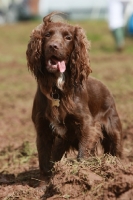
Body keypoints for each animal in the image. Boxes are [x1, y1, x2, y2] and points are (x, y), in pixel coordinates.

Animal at [26, 12, 122, 181]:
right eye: (47, 34)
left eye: (68, 37)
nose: (53, 46)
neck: (57, 88)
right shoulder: (43, 128)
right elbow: (44, 161)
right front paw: (45, 184)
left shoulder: (87, 124)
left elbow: (82, 155)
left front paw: (82, 173)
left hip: (113, 129)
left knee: (116, 150)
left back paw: (118, 169)